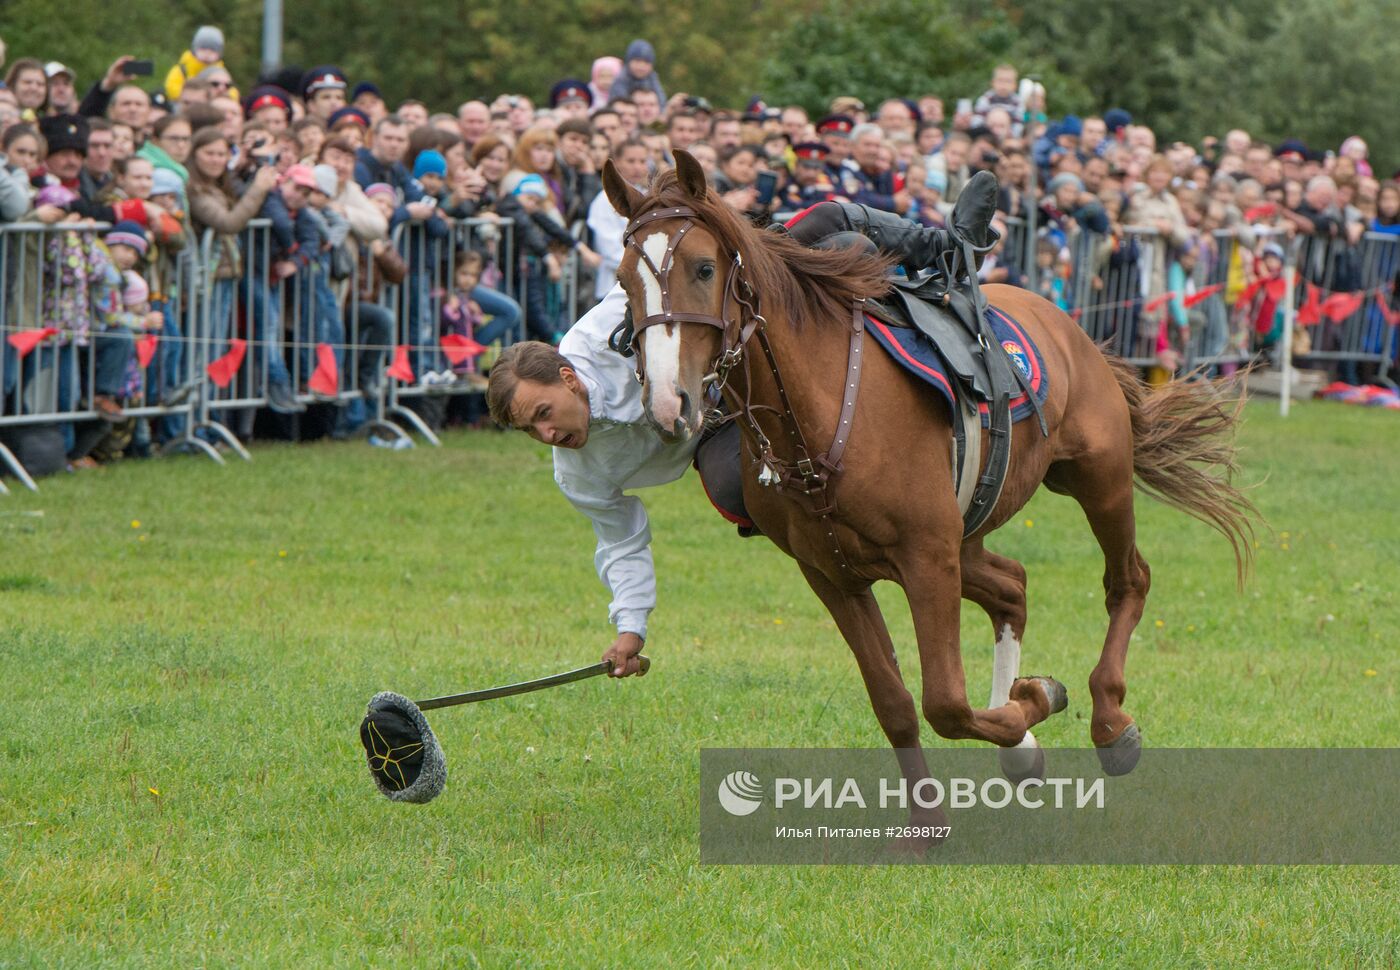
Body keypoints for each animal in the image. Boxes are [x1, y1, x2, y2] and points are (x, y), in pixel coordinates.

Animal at [602, 151, 1260, 800]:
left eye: (704, 267)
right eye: (624, 281)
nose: (669, 401)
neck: (824, 413)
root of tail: (1070, 325)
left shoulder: (928, 559)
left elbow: (945, 702)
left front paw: (1036, 697)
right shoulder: (835, 575)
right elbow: (896, 704)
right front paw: (940, 805)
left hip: (1099, 478)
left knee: (1127, 580)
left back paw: (1110, 721)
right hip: (971, 529)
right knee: (1014, 584)